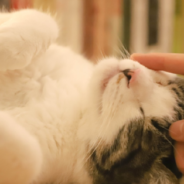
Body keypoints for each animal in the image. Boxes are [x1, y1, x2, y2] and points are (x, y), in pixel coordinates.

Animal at [0, 9, 183, 184]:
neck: (79, 105)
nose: (131, 74)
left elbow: (30, 158)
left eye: (142, 114)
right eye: (162, 83)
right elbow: (43, 20)